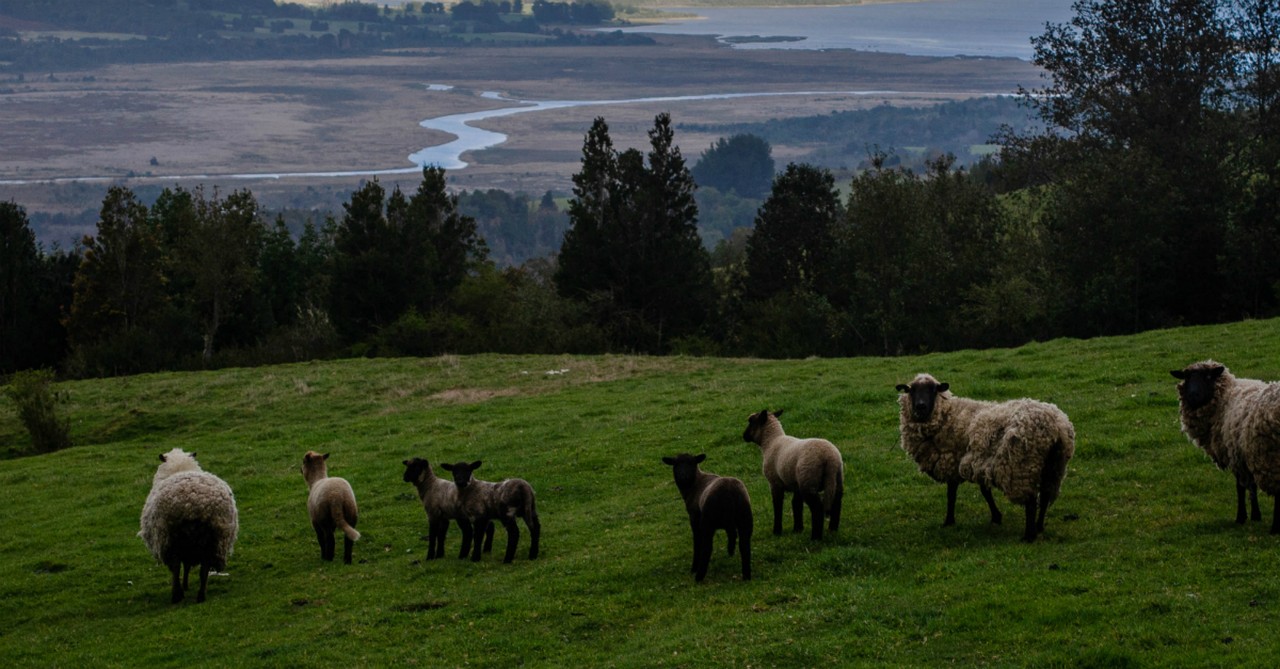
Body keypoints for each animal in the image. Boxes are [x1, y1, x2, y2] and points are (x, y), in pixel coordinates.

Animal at [138, 447, 239, 603]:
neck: (180, 468)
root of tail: (193, 503)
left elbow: (182, 566)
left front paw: (184, 587)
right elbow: (187, 565)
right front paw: (186, 585)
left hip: (170, 537)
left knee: (175, 566)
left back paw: (177, 595)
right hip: (214, 539)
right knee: (204, 569)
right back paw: (201, 595)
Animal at [660, 452, 747, 583]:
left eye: (692, 463)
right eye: (676, 464)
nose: (683, 476)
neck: (694, 485)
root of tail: (730, 492)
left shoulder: (694, 518)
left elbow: (697, 540)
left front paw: (694, 567)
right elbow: (731, 534)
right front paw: (730, 552)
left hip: (709, 521)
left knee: (707, 546)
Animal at [742, 409, 849, 544]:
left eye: (751, 421)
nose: (744, 436)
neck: (771, 442)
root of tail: (829, 458)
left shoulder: (775, 483)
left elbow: (777, 505)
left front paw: (777, 531)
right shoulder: (796, 484)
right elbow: (796, 504)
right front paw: (797, 529)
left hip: (808, 480)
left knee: (817, 508)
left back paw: (815, 537)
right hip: (836, 479)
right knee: (837, 502)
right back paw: (833, 530)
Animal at [896, 373, 1075, 542]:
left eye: (933, 390)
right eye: (911, 390)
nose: (920, 406)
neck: (948, 415)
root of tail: (1056, 425)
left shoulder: (953, 461)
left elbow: (952, 494)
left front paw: (949, 521)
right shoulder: (978, 461)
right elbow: (984, 491)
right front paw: (996, 517)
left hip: (1023, 467)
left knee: (1031, 502)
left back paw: (1029, 536)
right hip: (1054, 466)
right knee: (1045, 496)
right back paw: (1039, 526)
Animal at [1172, 360, 1280, 534]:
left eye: (1208, 377)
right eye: (1186, 378)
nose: (1193, 395)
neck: (1225, 397)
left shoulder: (1236, 455)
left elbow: (1240, 487)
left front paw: (1241, 517)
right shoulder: (1245, 455)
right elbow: (1251, 487)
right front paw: (1256, 515)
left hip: (1271, 457)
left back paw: (1275, 528)